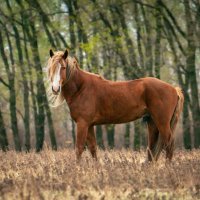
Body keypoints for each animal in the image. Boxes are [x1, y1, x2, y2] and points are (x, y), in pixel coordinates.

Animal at [47, 49, 184, 162]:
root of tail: (174, 89)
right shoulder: (89, 125)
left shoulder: (82, 123)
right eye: (51, 68)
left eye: (63, 67)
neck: (81, 88)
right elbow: (93, 149)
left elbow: (79, 148)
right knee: (152, 148)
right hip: (152, 123)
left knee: (169, 144)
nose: (55, 88)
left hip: (162, 123)